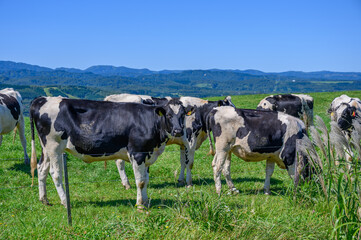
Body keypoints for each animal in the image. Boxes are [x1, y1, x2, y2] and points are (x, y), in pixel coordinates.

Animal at [30, 96, 186, 207]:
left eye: (183, 115)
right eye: (169, 115)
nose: (178, 131)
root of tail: (42, 99)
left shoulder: (147, 154)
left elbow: (146, 180)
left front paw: (146, 201)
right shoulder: (138, 153)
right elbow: (140, 181)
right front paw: (140, 205)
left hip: (46, 148)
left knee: (42, 169)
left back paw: (44, 199)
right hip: (54, 146)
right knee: (55, 174)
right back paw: (64, 201)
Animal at [104, 94, 233, 188]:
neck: (199, 112)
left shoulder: (183, 144)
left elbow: (183, 161)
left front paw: (181, 180)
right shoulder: (191, 141)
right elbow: (190, 163)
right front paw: (189, 183)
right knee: (120, 162)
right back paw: (127, 184)